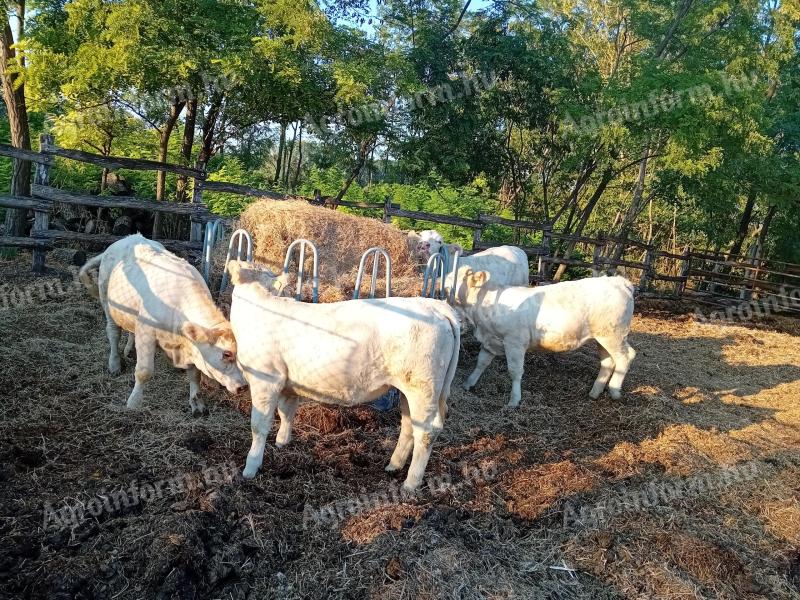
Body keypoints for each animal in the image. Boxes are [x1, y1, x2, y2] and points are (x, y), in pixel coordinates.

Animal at [79, 233, 247, 412]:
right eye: (226, 354)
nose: (244, 386)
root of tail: (128, 238)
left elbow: (195, 374)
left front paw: (197, 402)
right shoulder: (146, 333)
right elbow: (144, 372)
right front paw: (133, 402)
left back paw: (130, 350)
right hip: (106, 300)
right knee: (113, 332)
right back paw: (114, 364)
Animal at [228, 262, 460, 492]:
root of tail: (434, 306)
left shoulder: (265, 381)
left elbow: (259, 425)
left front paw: (250, 467)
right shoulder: (287, 383)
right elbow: (286, 412)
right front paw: (282, 442)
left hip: (423, 388)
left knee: (426, 432)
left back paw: (410, 483)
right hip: (409, 389)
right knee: (410, 424)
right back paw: (394, 465)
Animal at [460, 274, 636, 408]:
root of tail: (619, 281)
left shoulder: (514, 342)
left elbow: (515, 372)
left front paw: (514, 400)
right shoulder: (490, 340)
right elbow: (481, 362)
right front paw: (468, 383)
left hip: (614, 335)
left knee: (626, 357)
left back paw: (614, 390)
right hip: (602, 338)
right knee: (608, 362)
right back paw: (595, 392)